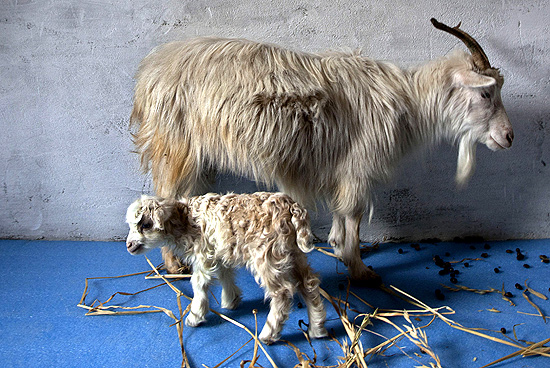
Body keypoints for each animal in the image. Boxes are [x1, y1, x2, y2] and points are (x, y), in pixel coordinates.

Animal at [126, 191, 328, 344]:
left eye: (146, 225)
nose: (128, 245)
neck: (186, 219)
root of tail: (291, 207)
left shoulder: (202, 255)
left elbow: (199, 284)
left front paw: (195, 316)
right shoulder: (218, 251)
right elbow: (225, 274)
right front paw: (231, 300)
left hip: (267, 255)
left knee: (282, 293)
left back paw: (268, 334)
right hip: (292, 252)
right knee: (308, 283)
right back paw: (317, 328)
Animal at [132, 18, 516, 284]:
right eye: (486, 93)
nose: (509, 136)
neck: (408, 102)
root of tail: (150, 71)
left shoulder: (342, 170)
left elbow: (341, 216)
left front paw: (336, 246)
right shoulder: (357, 169)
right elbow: (353, 216)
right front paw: (360, 269)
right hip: (176, 147)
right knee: (165, 196)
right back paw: (174, 265)